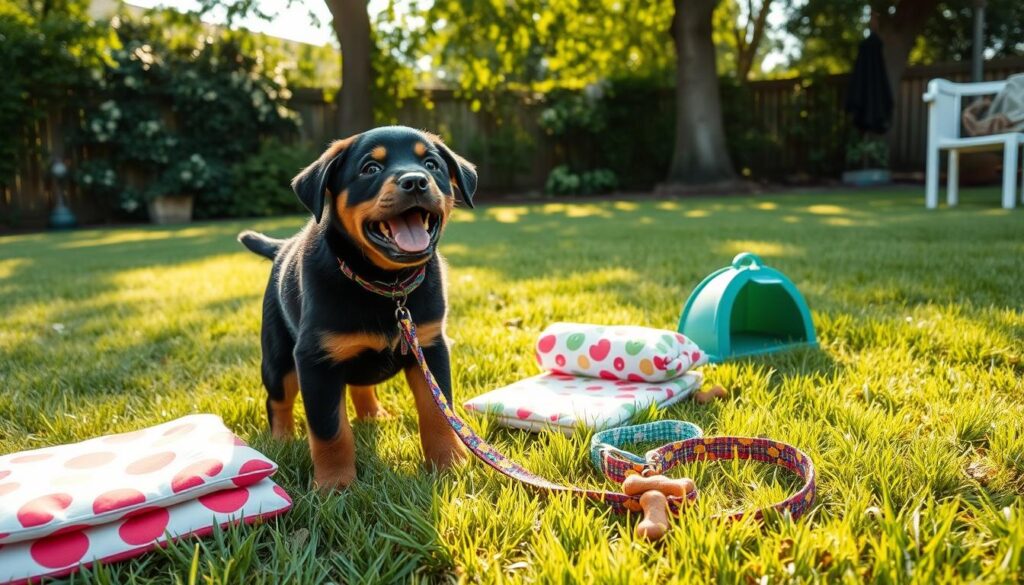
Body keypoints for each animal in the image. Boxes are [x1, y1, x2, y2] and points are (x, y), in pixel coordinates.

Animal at [237, 126, 477, 491]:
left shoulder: (430, 345)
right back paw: (282, 440)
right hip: (278, 357)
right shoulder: (316, 360)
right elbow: (330, 431)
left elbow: (438, 412)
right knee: (278, 399)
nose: (416, 181)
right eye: (370, 169)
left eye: (431, 164)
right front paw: (334, 486)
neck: (388, 286)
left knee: (360, 385)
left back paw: (373, 416)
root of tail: (283, 248)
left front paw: (449, 465)